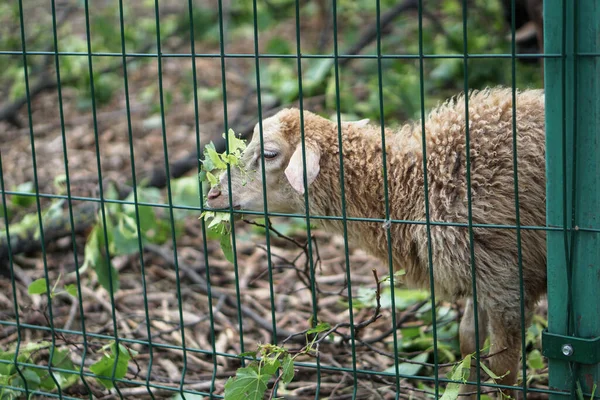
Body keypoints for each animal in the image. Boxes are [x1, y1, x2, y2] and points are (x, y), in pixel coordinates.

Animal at [207, 87, 548, 396]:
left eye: (268, 154)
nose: (213, 194)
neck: (413, 185)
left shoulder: (505, 281)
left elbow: (503, 369)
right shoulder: (481, 273)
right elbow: (468, 345)